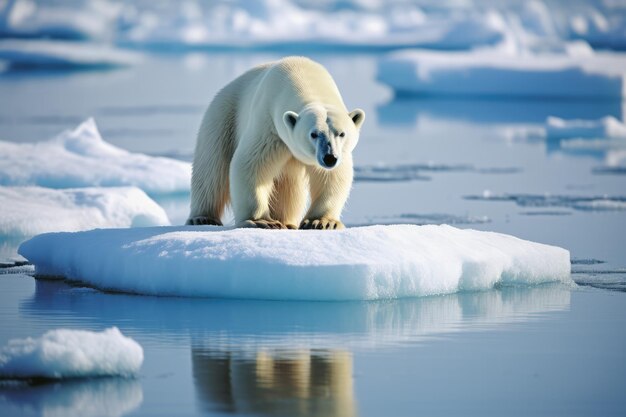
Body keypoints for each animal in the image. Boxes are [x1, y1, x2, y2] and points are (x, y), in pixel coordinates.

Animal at [185, 56, 364, 229]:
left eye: (341, 133)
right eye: (313, 134)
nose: (329, 157)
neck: (303, 75)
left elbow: (332, 176)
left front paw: (321, 221)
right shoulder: (269, 125)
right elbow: (251, 165)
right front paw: (260, 221)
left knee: (288, 187)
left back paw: (287, 222)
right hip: (223, 117)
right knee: (211, 170)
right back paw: (202, 218)